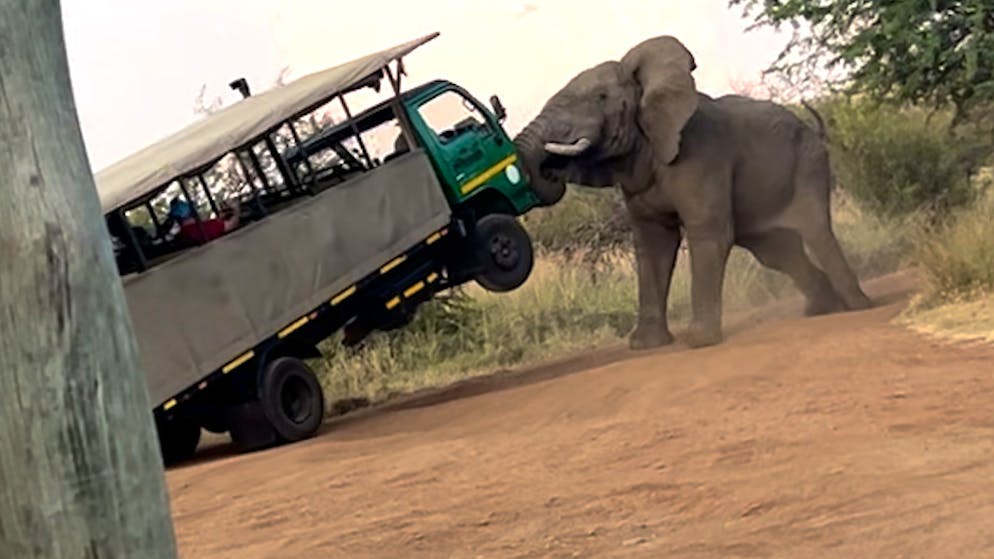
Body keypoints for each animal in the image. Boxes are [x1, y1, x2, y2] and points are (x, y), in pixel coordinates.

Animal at [513, 35, 873, 350]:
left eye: (601, 97)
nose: (548, 168)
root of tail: (812, 128)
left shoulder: (702, 153)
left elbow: (707, 231)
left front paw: (699, 341)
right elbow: (654, 244)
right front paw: (645, 345)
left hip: (809, 164)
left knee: (816, 232)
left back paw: (859, 306)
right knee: (776, 251)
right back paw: (821, 308)